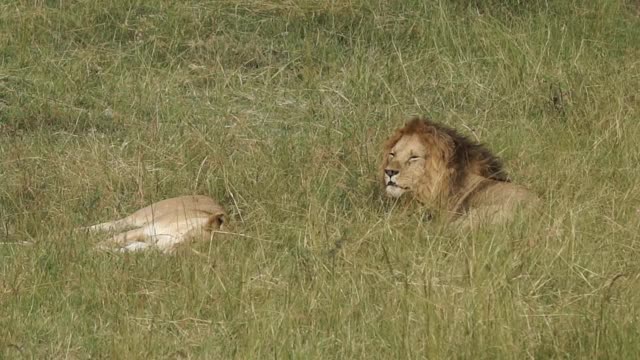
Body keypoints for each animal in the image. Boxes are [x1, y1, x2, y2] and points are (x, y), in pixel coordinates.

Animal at [82, 194, 226, 253]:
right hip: (142, 215)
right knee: (115, 224)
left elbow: (125, 250)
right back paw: (79, 231)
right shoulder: (143, 230)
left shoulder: (147, 245)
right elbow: (105, 242)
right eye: (193, 240)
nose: (170, 252)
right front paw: (89, 250)